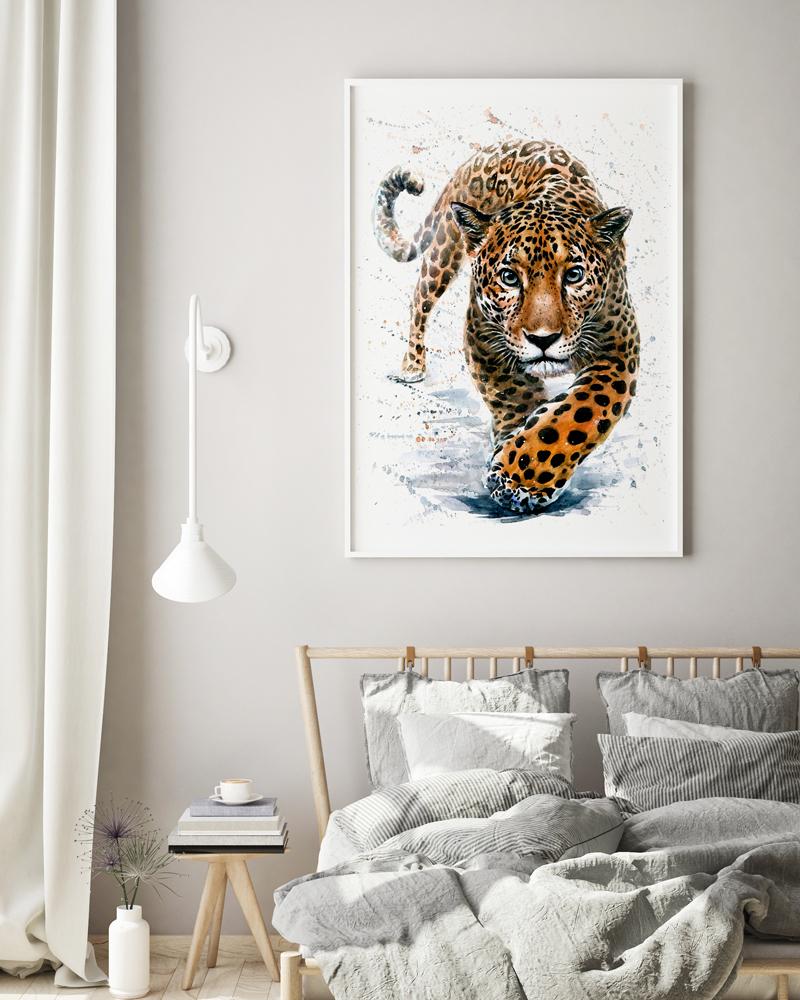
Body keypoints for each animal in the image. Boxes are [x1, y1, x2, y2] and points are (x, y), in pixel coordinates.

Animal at [372, 139, 639, 513]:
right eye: (509, 277)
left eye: (574, 275)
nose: (543, 339)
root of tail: (495, 146)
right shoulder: (483, 337)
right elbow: (515, 396)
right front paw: (516, 468)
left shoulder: (618, 349)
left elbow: (578, 413)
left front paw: (521, 475)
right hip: (444, 250)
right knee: (419, 300)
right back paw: (412, 364)